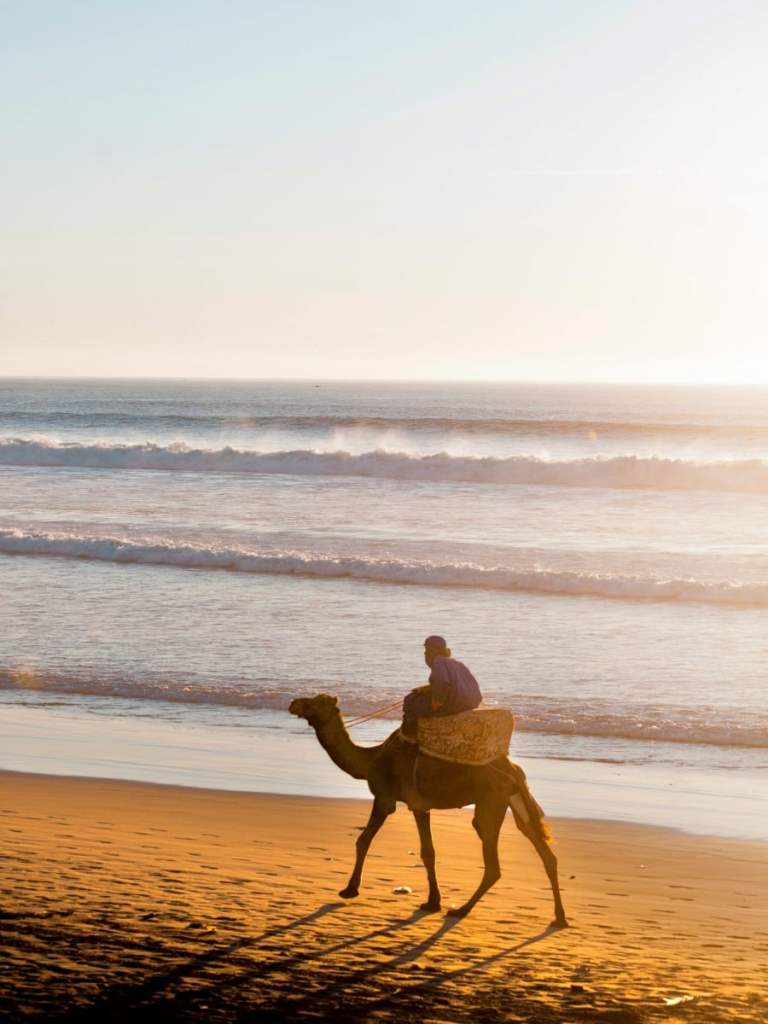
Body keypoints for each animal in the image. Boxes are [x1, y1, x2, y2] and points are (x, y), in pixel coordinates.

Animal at [289, 694, 568, 927]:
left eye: (317, 701)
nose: (294, 703)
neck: (372, 760)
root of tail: (513, 769)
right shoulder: (420, 806)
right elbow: (428, 852)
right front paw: (433, 901)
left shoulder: (386, 799)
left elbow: (365, 840)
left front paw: (349, 890)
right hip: (514, 802)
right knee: (544, 851)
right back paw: (560, 918)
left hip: (492, 802)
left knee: (493, 862)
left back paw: (462, 909)